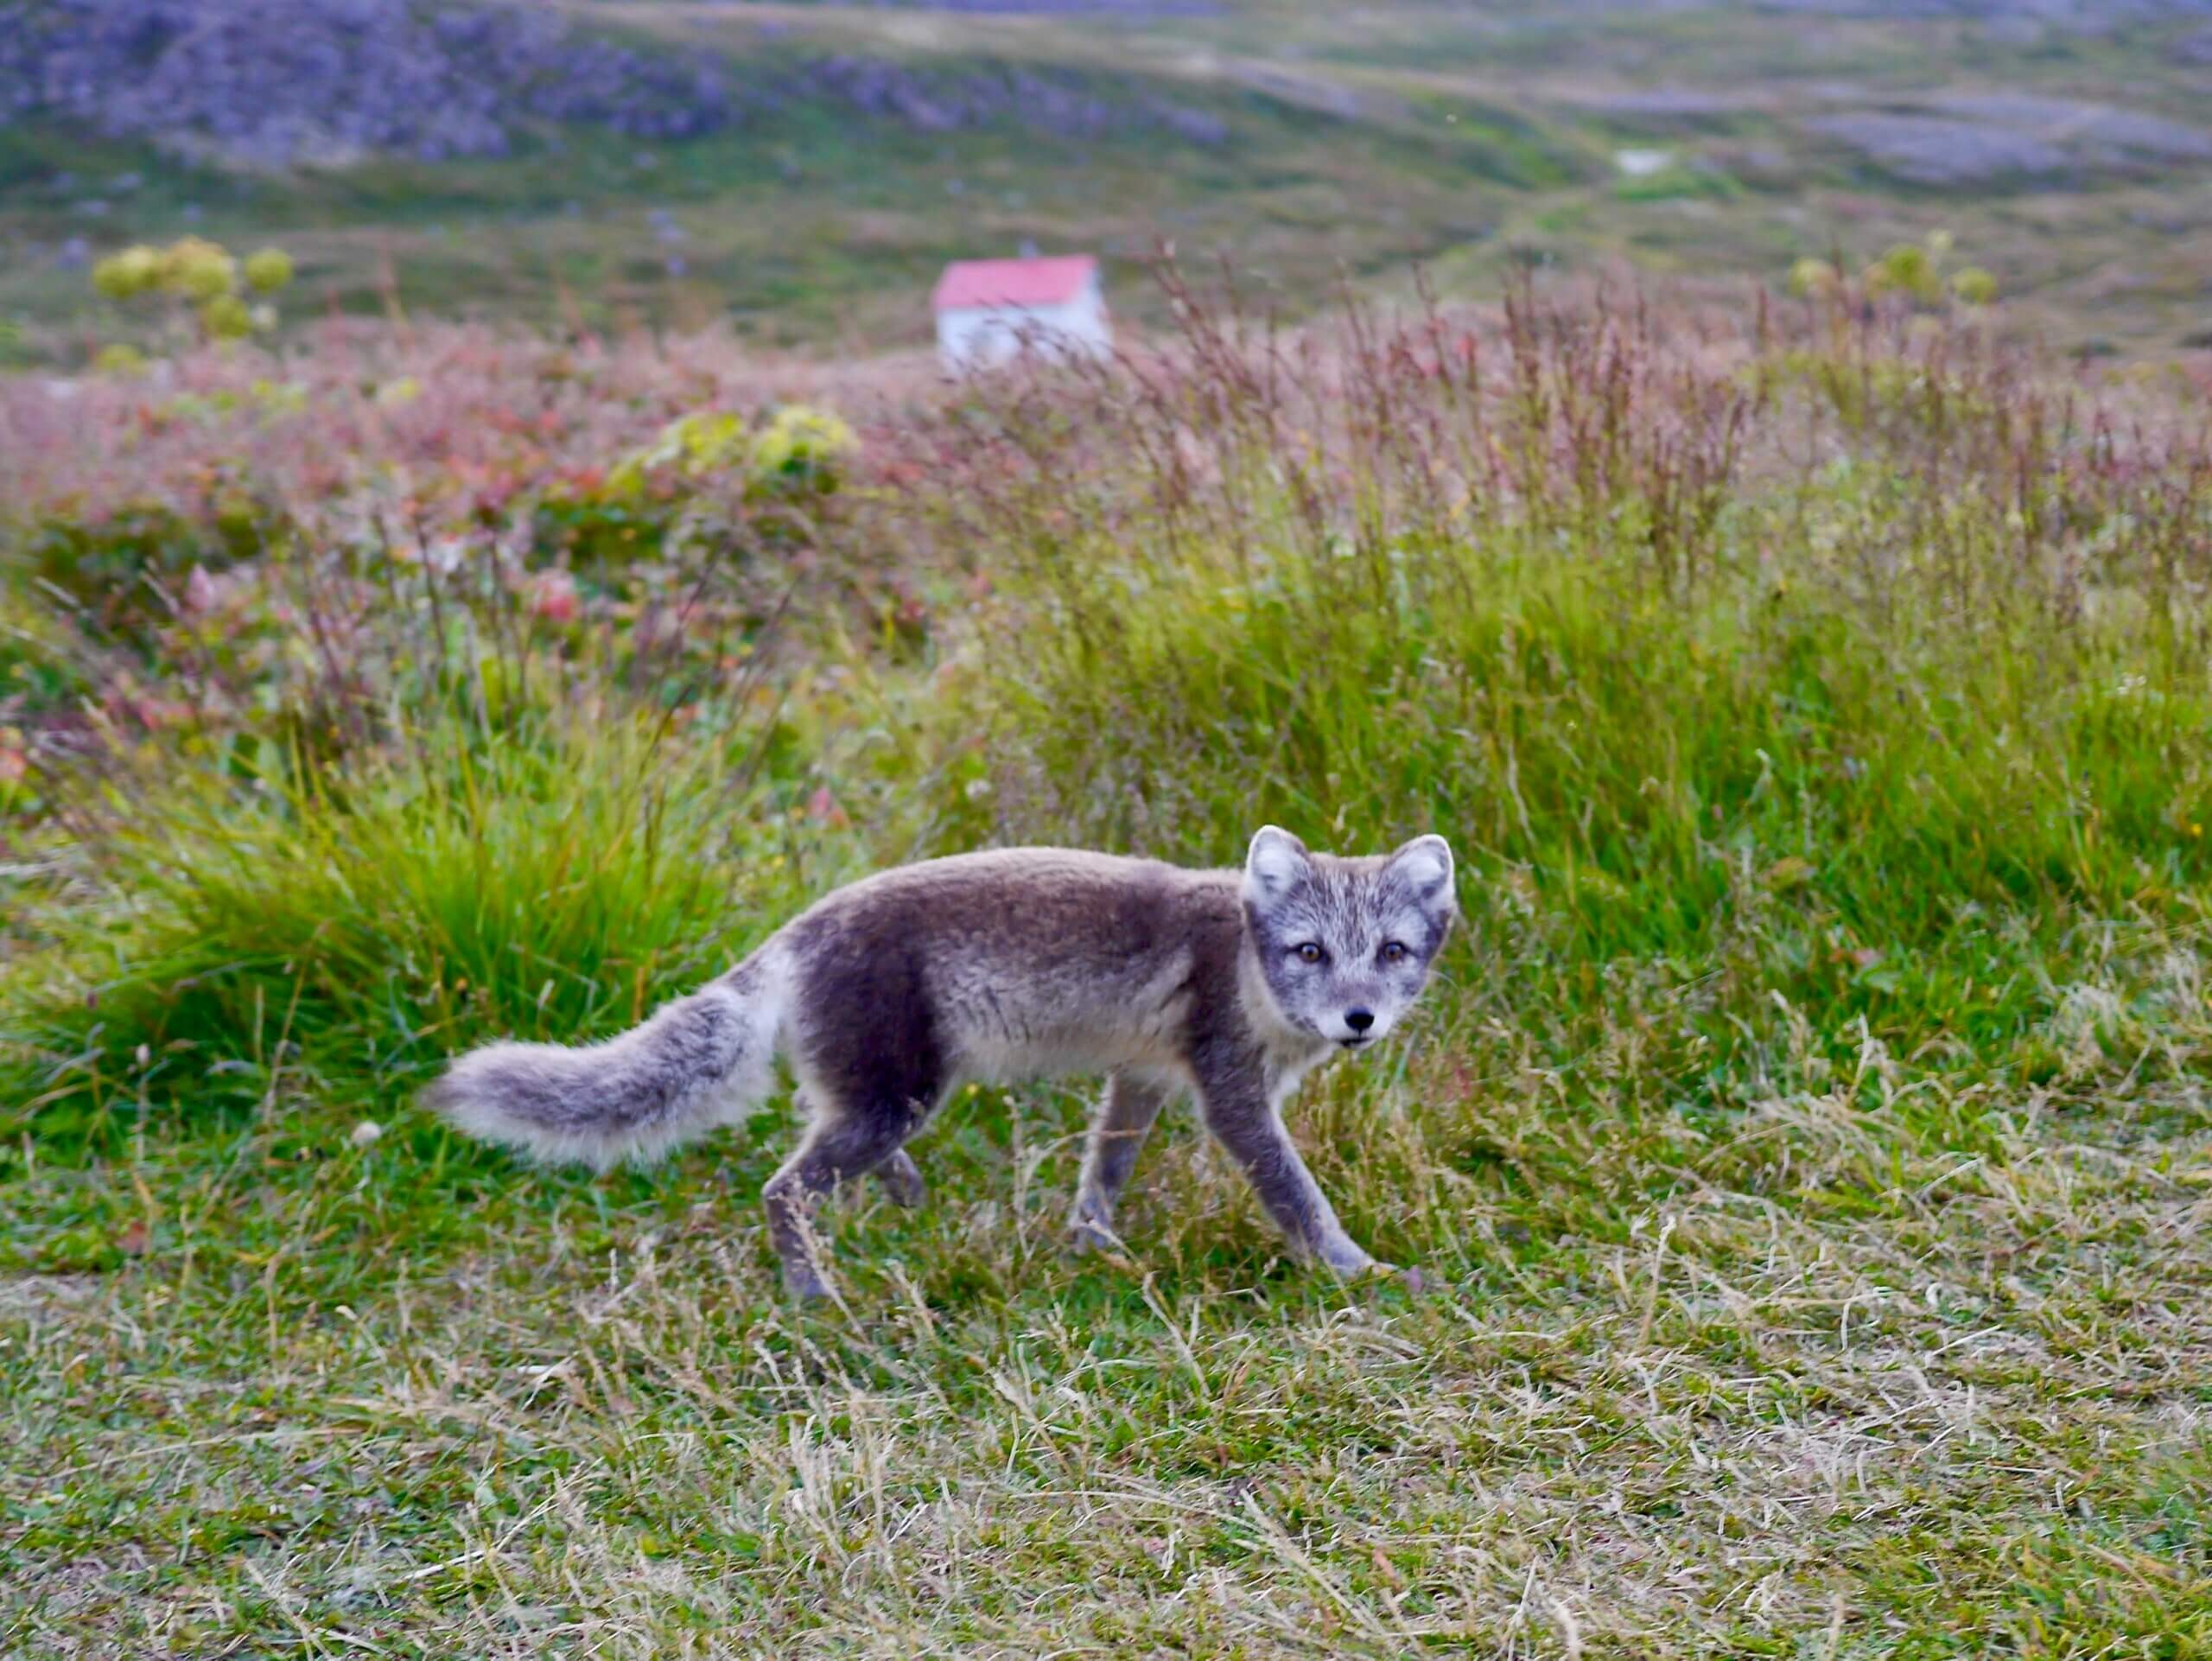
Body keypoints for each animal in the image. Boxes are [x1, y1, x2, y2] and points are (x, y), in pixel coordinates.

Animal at [426, 825, 1457, 1299]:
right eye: (1310, 952)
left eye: (1392, 952)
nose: (1359, 1019)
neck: (1245, 962)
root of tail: (795, 932)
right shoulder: (1232, 1100)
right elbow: (1298, 1197)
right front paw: (1361, 1271)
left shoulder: (1145, 1076)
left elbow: (1104, 1165)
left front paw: (1091, 1240)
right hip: (902, 1094)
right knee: (782, 1187)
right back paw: (814, 1294)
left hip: (885, 1096)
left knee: (832, 1149)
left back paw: (906, 1198)